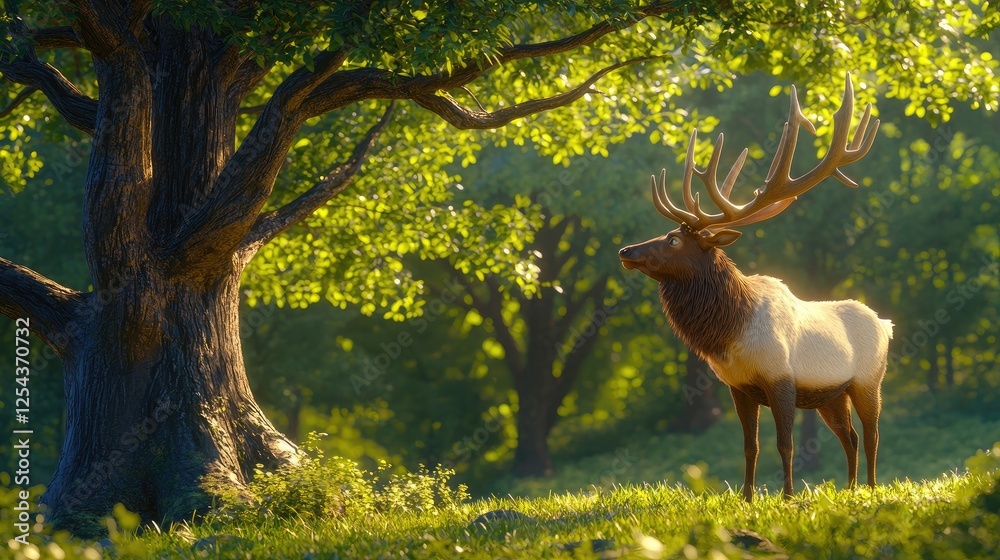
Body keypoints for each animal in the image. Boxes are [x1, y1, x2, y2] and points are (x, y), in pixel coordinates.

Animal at [618, 75, 893, 502]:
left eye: (674, 240)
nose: (626, 251)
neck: (730, 332)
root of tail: (887, 324)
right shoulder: (739, 387)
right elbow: (751, 445)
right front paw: (747, 496)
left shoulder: (781, 378)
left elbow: (786, 443)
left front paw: (788, 495)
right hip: (831, 395)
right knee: (848, 436)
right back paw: (848, 488)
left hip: (868, 379)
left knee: (872, 433)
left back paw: (872, 487)